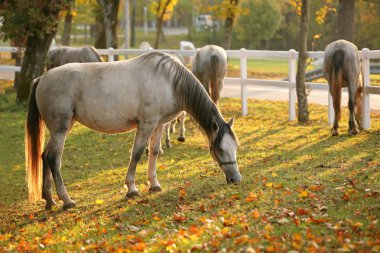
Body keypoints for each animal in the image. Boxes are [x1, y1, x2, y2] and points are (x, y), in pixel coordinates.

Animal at [26, 51, 240, 210]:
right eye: (220, 149)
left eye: (235, 147)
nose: (236, 179)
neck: (168, 81)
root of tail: (42, 78)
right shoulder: (146, 124)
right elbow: (136, 153)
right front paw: (132, 189)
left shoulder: (159, 124)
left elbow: (154, 152)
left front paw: (154, 185)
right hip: (60, 129)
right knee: (53, 158)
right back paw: (66, 200)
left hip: (62, 128)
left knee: (45, 156)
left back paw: (50, 200)